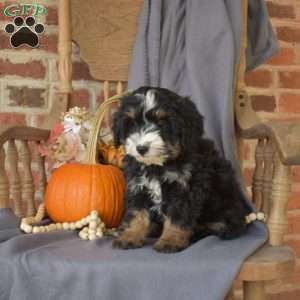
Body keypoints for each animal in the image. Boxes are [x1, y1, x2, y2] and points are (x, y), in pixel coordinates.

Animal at [111, 86, 250, 253]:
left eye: (162, 123)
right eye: (131, 123)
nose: (141, 148)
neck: (157, 166)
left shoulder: (185, 187)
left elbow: (178, 215)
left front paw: (170, 240)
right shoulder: (138, 186)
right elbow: (137, 213)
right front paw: (130, 236)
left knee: (221, 225)